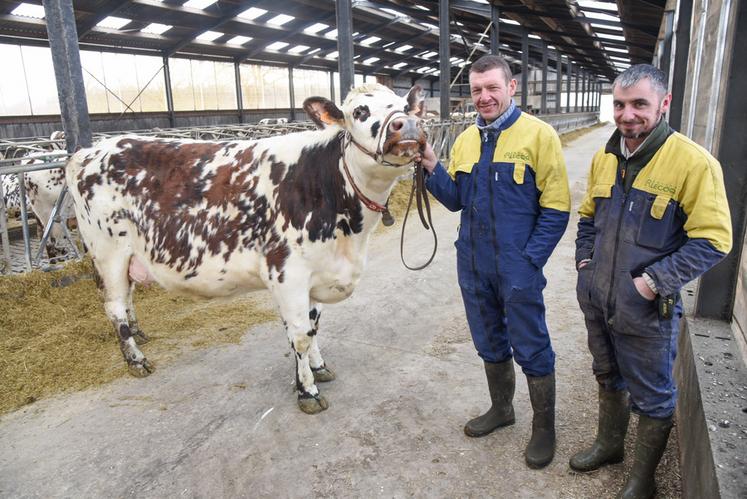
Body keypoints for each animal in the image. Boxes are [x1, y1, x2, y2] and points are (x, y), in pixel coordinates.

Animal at [65, 83, 426, 414]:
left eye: (404, 105)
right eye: (360, 111)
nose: (406, 125)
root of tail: (89, 151)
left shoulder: (316, 274)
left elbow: (313, 326)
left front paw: (318, 368)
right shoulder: (288, 273)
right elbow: (300, 334)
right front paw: (306, 391)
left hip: (128, 257)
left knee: (126, 300)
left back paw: (139, 336)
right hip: (108, 252)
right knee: (114, 307)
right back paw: (136, 360)